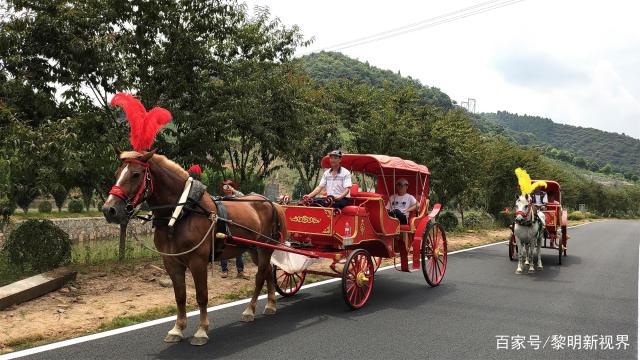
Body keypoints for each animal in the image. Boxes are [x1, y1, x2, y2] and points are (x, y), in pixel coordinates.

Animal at [102, 150, 288, 346]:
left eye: (136, 174)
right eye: (116, 173)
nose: (109, 210)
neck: (182, 213)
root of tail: (270, 202)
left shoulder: (198, 261)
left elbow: (201, 295)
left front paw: (201, 330)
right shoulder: (171, 262)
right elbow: (180, 296)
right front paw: (177, 329)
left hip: (265, 249)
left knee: (259, 277)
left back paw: (250, 310)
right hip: (254, 249)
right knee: (267, 272)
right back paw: (270, 304)